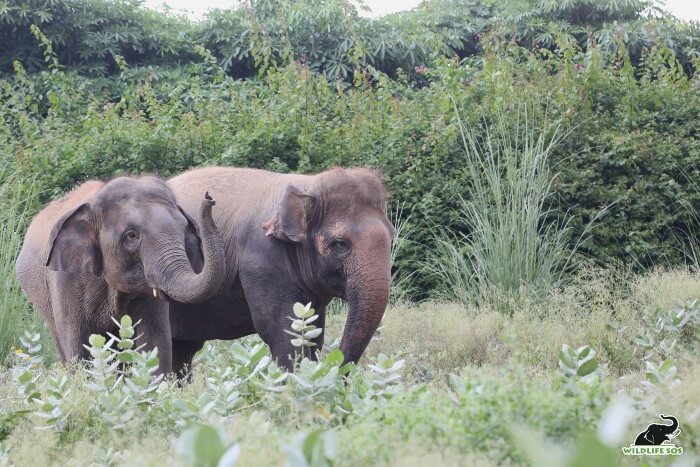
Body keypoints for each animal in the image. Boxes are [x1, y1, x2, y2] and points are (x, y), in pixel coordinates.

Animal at [15, 177, 224, 374]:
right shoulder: (66, 280)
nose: (209, 198)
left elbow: (154, 344)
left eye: (182, 228)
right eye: (131, 235)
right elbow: (78, 348)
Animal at [167, 166, 396, 374]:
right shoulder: (263, 263)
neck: (308, 184)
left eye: (391, 238)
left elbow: (312, 333)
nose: (336, 370)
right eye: (341, 244)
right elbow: (282, 333)